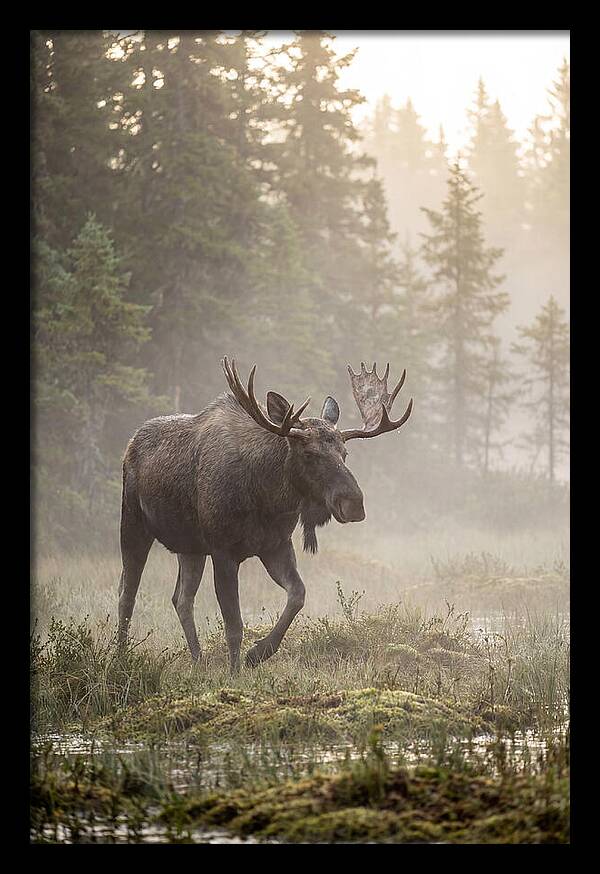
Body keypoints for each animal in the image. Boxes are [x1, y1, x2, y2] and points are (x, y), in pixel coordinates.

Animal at [118, 357, 413, 672]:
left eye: (345, 453)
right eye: (309, 453)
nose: (354, 503)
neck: (267, 498)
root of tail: (130, 443)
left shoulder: (276, 545)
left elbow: (297, 595)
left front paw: (258, 653)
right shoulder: (223, 551)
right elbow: (234, 624)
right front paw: (235, 672)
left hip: (190, 547)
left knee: (181, 599)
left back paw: (197, 660)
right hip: (133, 523)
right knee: (127, 593)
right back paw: (120, 655)